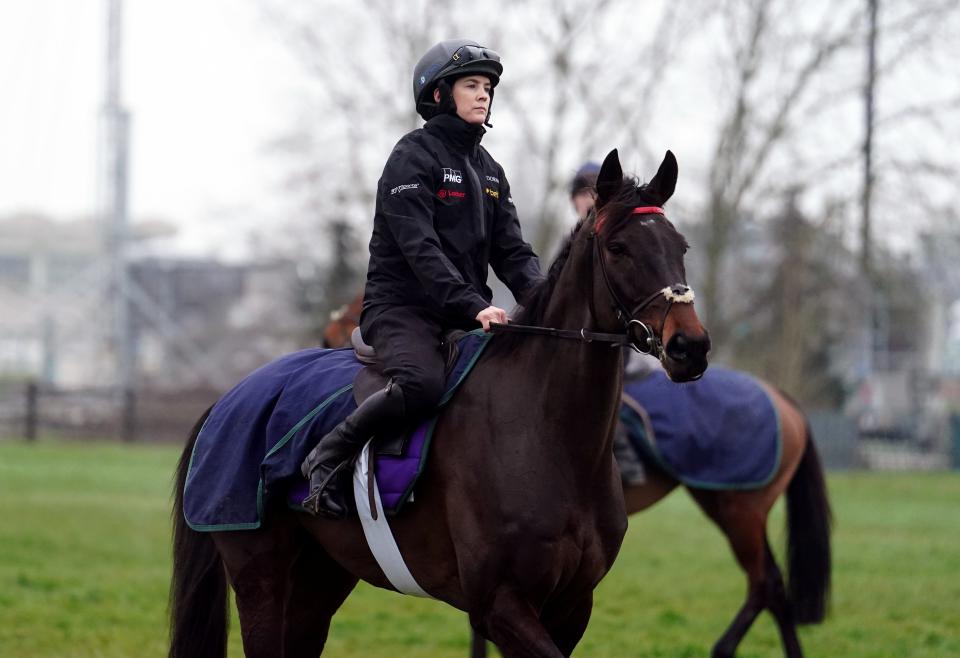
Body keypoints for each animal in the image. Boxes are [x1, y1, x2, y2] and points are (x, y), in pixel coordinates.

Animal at [169, 146, 708, 652]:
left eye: (680, 245)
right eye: (618, 247)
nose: (690, 346)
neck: (547, 435)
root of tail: (228, 400)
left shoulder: (572, 606)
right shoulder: (501, 605)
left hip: (319, 579)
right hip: (262, 576)